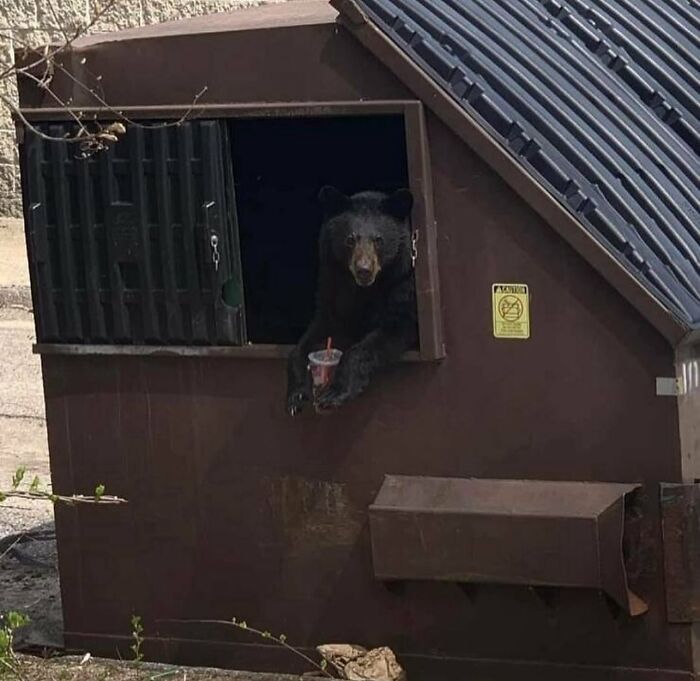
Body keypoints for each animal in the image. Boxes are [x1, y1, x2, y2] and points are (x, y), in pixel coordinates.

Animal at [286, 185, 418, 415]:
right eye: (350, 239)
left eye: (378, 239)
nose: (364, 270)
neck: (365, 289)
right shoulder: (332, 287)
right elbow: (319, 331)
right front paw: (298, 393)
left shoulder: (401, 284)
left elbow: (395, 327)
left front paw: (334, 393)